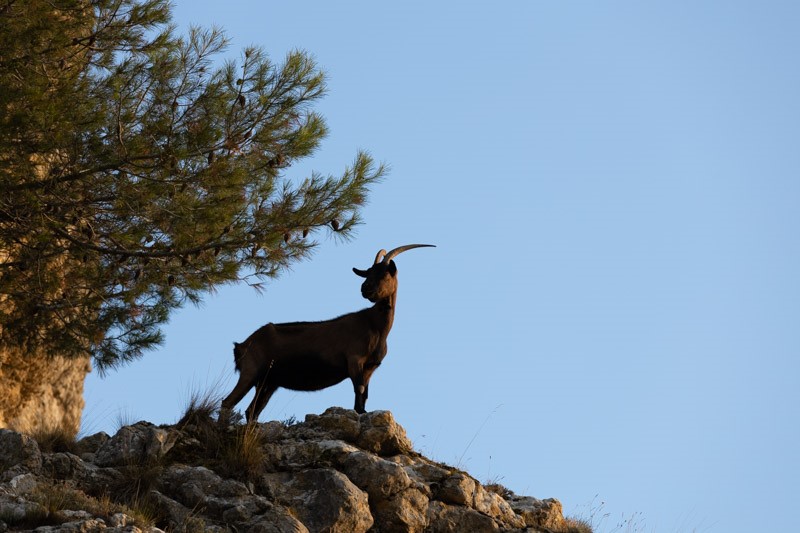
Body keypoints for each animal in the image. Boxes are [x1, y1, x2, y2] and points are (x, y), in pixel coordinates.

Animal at [219, 244, 435, 423]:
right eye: (368, 273)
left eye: (384, 274)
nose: (365, 289)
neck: (375, 326)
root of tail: (241, 345)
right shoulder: (354, 360)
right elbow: (358, 391)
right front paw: (360, 414)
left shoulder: (370, 368)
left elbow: (364, 395)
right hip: (251, 371)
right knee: (228, 402)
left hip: (268, 382)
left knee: (252, 410)